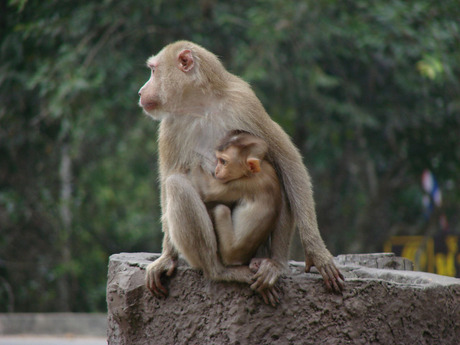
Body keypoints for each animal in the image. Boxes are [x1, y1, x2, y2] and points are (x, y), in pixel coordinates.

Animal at [190, 130, 280, 266]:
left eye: (223, 162)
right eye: (218, 160)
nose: (217, 170)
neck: (258, 171)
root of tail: (240, 260)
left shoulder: (241, 184)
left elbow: (206, 190)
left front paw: (196, 155)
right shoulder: (270, 169)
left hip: (229, 250)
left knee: (221, 210)